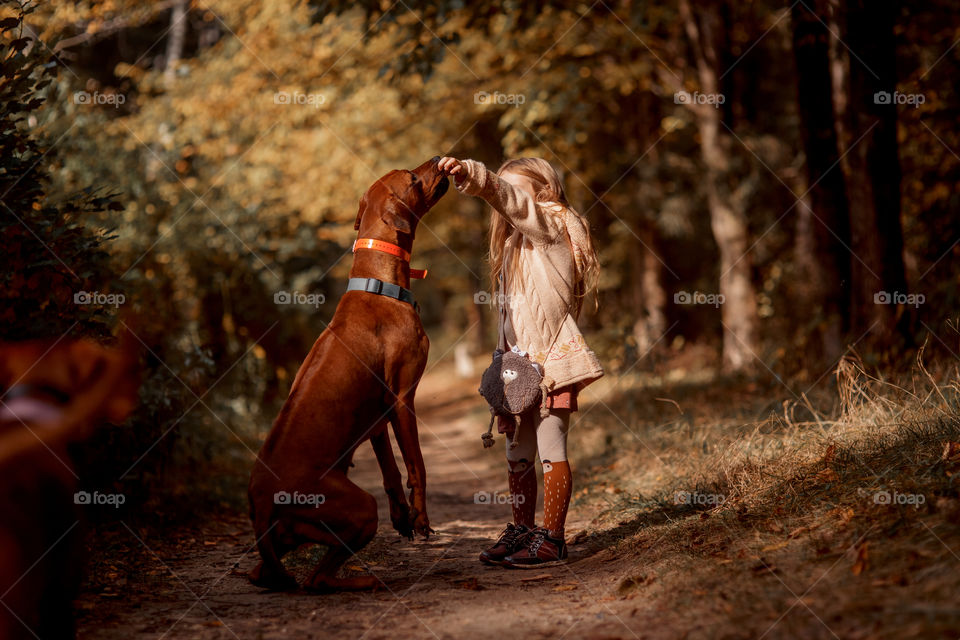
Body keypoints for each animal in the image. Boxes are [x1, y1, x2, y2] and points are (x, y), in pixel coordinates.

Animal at [248, 156, 450, 592]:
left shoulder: (377, 416)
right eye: (413, 177)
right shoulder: (402, 399)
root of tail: (261, 501)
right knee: (316, 580)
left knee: (269, 574)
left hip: (295, 533)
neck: (379, 285)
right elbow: (417, 465)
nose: (438, 158)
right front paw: (422, 518)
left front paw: (403, 516)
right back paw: (368, 580)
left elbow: (391, 470)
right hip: (357, 507)